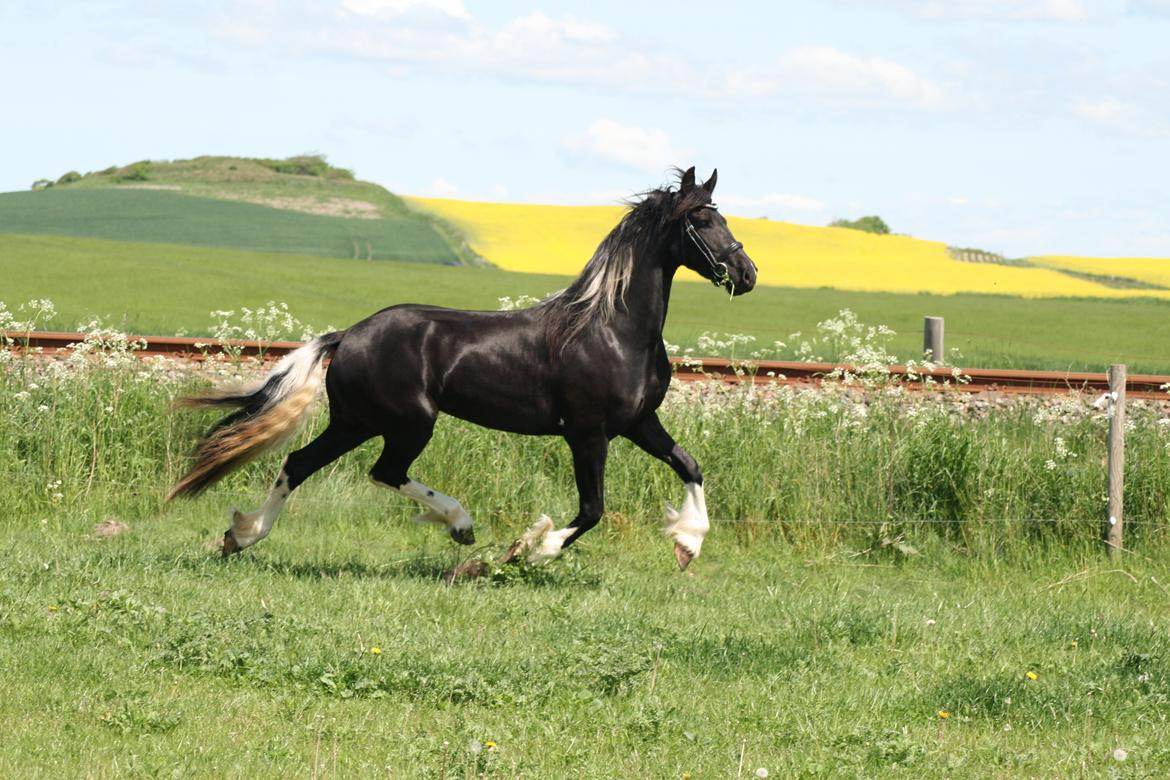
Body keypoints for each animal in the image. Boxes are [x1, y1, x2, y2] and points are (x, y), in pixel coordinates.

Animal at [170, 168, 758, 570]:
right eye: (701, 220)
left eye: (723, 216)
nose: (747, 273)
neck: (612, 329)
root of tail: (349, 335)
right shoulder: (588, 433)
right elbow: (591, 509)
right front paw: (529, 548)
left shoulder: (639, 423)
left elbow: (690, 466)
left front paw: (688, 543)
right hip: (408, 422)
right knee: (383, 471)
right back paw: (460, 524)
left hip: (356, 421)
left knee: (299, 463)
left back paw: (242, 535)